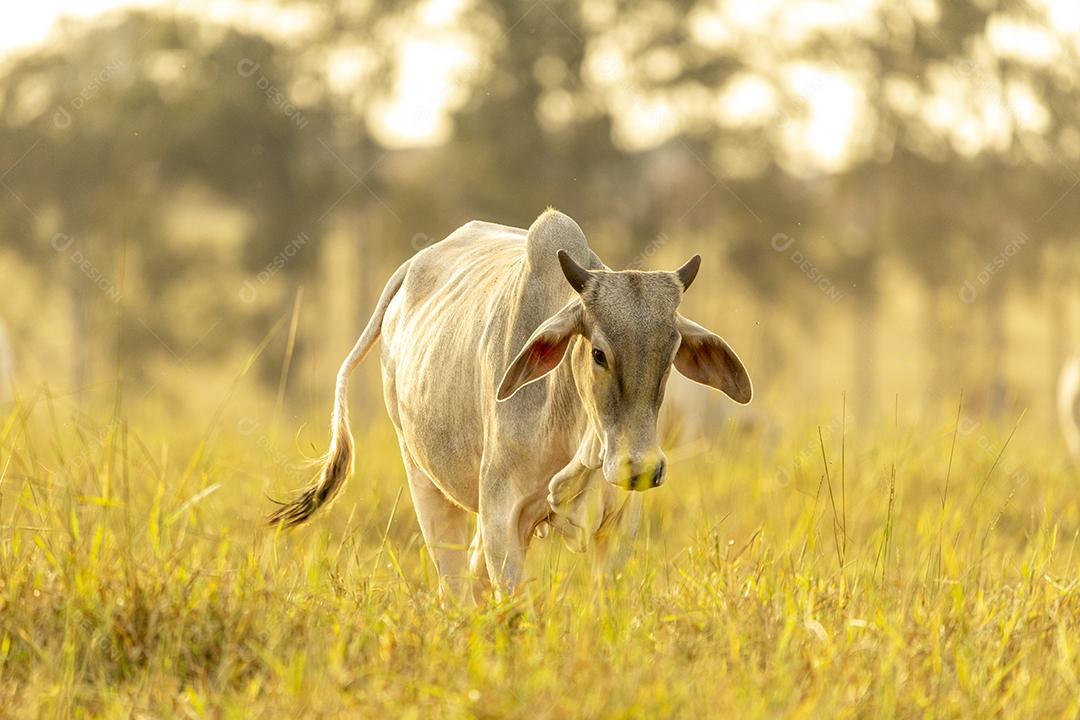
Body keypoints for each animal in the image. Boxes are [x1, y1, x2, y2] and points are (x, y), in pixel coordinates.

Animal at [269, 209, 753, 599]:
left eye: (670, 355)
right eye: (598, 353)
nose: (641, 468)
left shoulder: (617, 526)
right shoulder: (502, 517)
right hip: (422, 475)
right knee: (455, 588)